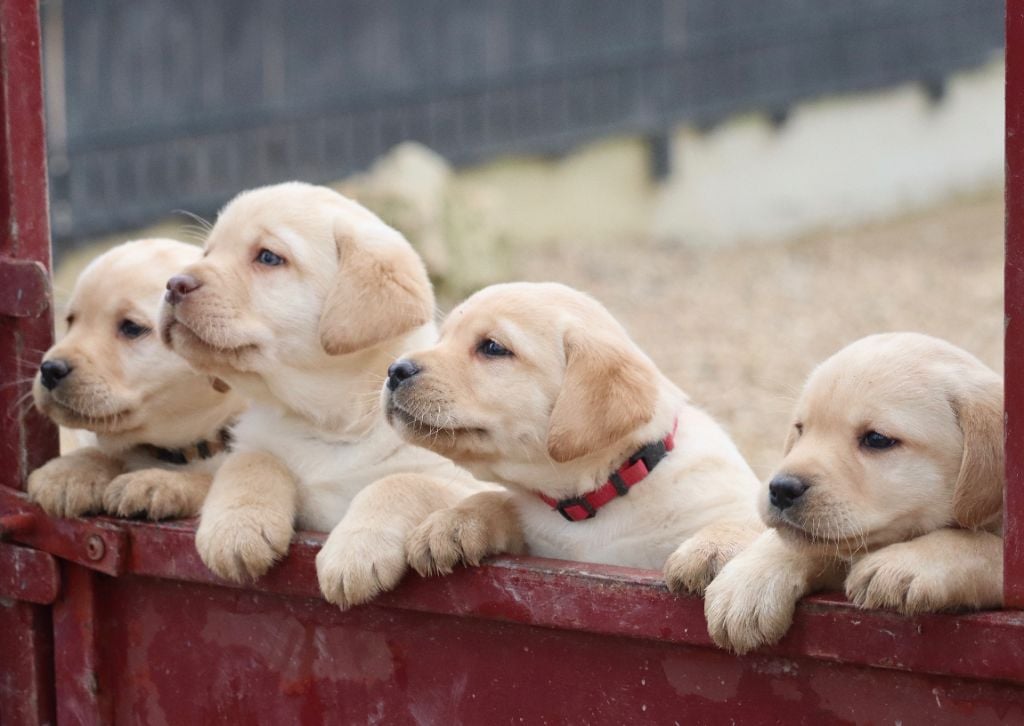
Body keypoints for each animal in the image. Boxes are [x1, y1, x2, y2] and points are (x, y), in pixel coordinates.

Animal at [28, 240, 245, 518]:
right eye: (71, 321)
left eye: (132, 328)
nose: (50, 369)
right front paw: (70, 472)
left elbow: (215, 481)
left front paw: (159, 482)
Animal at [157, 181, 493, 606]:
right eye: (207, 253)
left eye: (268, 257)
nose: (172, 284)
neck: (327, 425)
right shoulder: (258, 444)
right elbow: (250, 461)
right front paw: (236, 526)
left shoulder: (467, 483)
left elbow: (400, 482)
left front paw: (355, 552)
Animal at [380, 280, 757, 581]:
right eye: (441, 339)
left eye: (492, 347)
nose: (395, 369)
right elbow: (498, 498)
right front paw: (452, 523)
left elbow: (749, 523)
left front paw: (714, 548)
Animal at [692, 331, 1003, 655]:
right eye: (800, 429)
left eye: (877, 439)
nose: (780, 489)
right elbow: (797, 543)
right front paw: (749, 582)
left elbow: (982, 546)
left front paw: (904, 563)